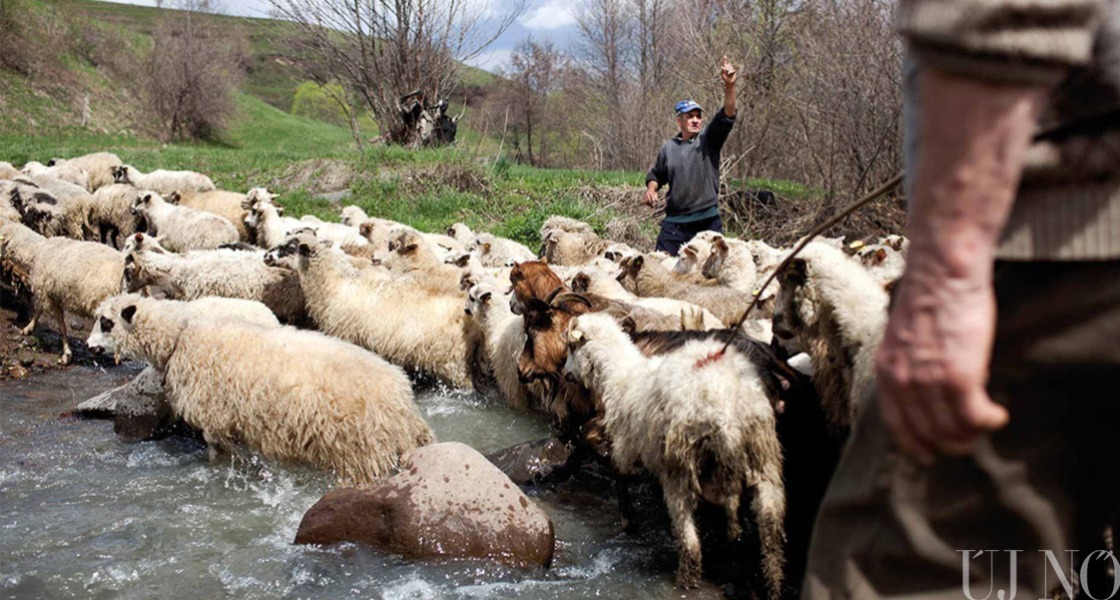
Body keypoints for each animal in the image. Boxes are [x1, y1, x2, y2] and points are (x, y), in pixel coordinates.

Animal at [82, 293, 430, 485]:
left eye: (106, 322)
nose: (89, 346)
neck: (180, 335)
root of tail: (402, 401)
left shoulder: (214, 416)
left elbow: (218, 450)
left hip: (363, 452)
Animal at [560, 313, 788, 595]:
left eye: (571, 347)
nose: (565, 374)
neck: (620, 375)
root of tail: (726, 409)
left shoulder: (625, 445)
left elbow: (618, 474)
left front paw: (628, 520)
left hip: (681, 467)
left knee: (690, 539)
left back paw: (687, 579)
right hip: (763, 459)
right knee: (769, 530)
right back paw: (771, 583)